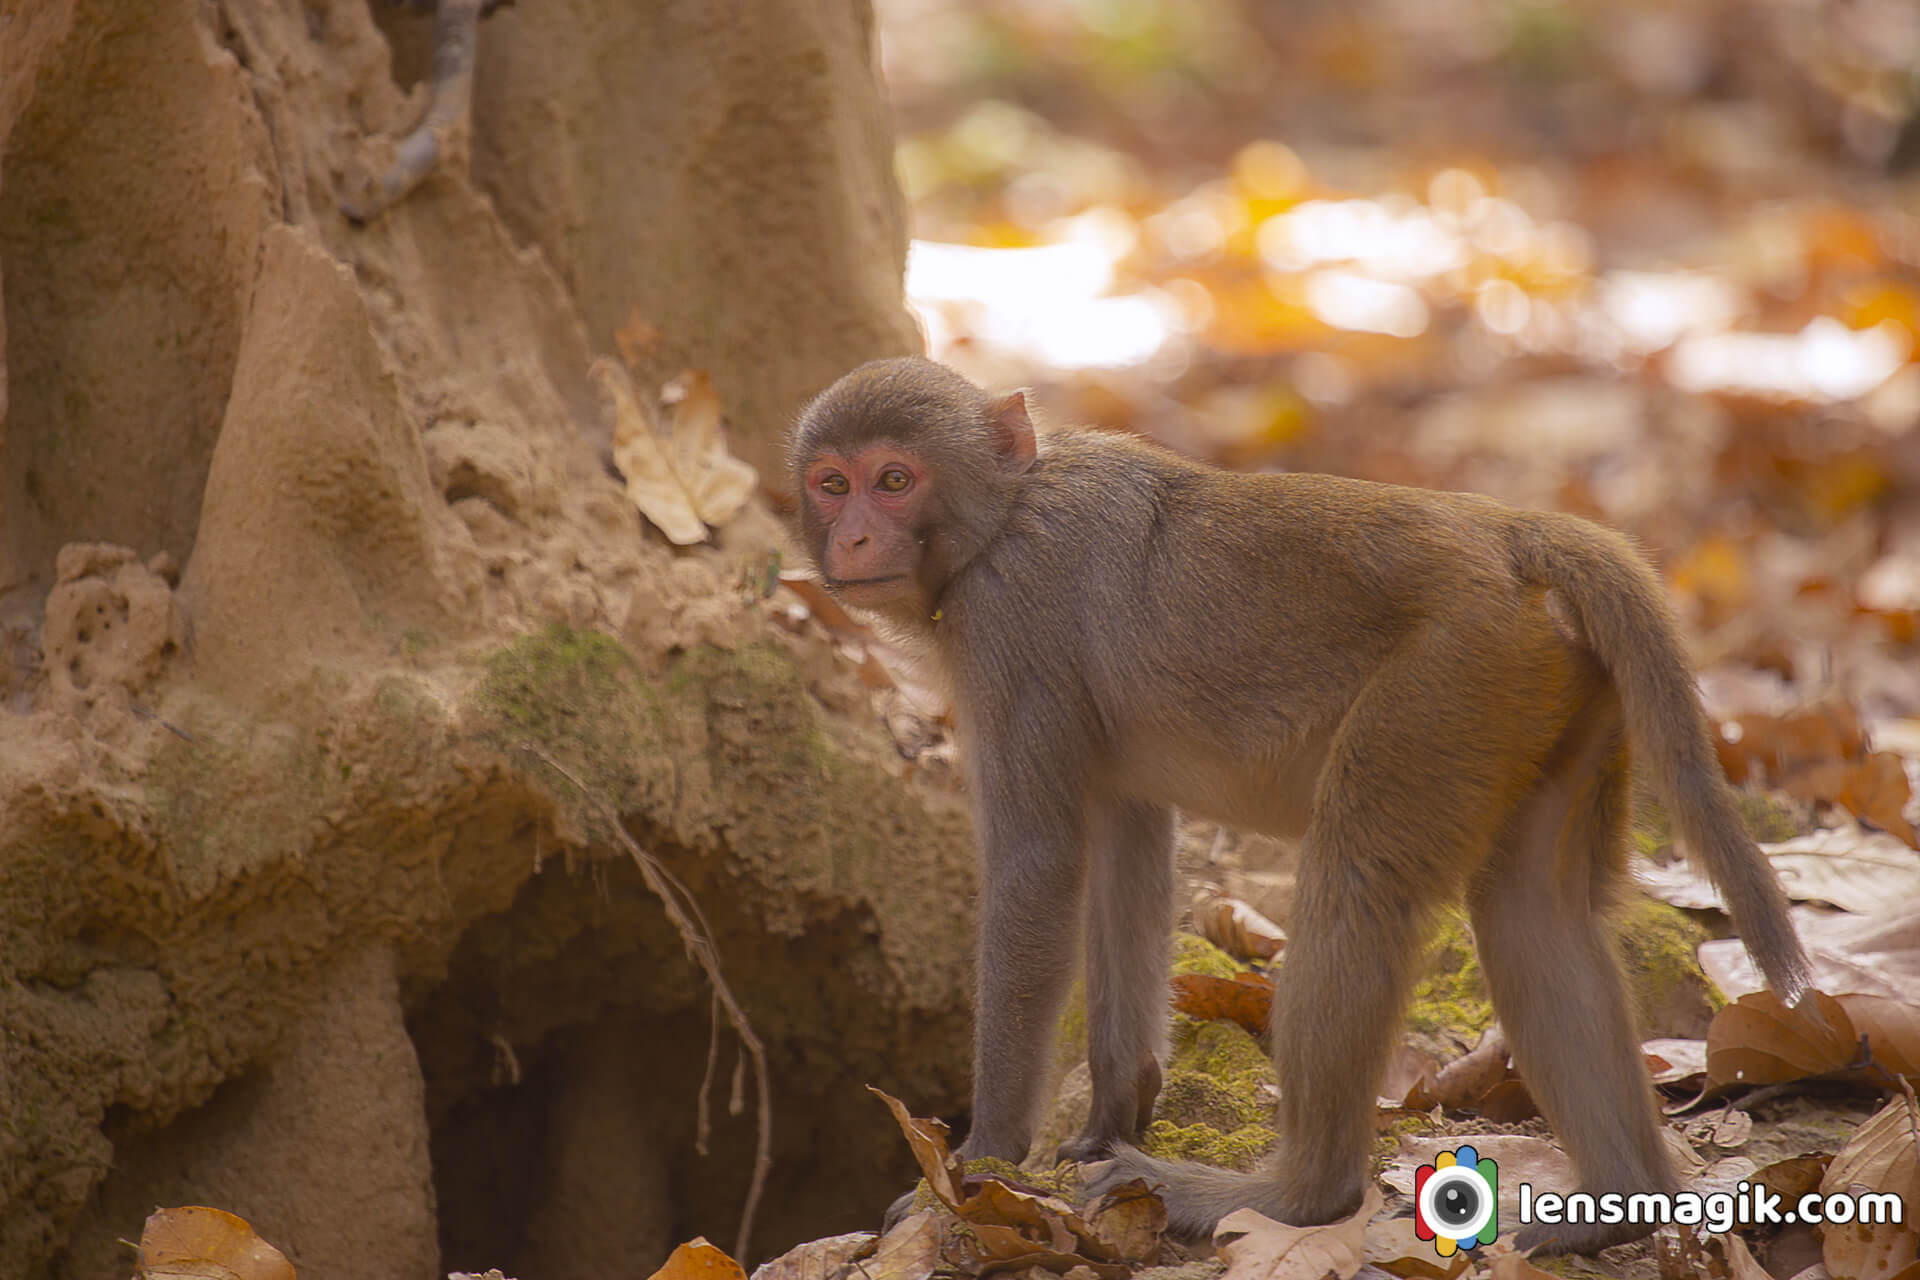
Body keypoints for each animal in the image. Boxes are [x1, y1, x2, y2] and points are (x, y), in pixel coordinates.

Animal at [783, 355, 1812, 1258]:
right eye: (833, 484)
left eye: (894, 479)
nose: (854, 538)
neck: (1004, 512)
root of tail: (1507, 530)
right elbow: (1125, 848)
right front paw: (1115, 1110)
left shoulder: (1008, 621)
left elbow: (1038, 865)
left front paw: (979, 1165)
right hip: (1540, 689)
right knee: (1532, 910)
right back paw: (1615, 1205)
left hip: (1449, 676)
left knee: (1356, 880)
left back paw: (1294, 1194)